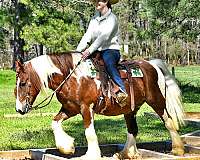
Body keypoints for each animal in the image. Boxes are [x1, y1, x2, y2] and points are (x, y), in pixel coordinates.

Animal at [14, 52, 185, 159]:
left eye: (22, 83)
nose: (19, 109)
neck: (72, 78)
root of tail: (151, 64)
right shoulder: (70, 108)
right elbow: (55, 122)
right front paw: (67, 147)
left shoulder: (86, 108)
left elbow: (89, 133)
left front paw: (91, 155)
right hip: (130, 109)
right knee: (132, 130)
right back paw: (125, 154)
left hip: (156, 100)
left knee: (169, 121)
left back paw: (178, 149)